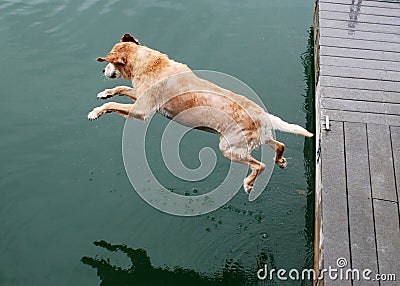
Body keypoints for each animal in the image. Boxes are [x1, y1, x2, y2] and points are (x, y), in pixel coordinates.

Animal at [89, 34, 314, 194]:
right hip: (255, 139)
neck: (147, 64)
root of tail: (261, 114)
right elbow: (119, 89)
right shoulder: (139, 97)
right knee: (279, 145)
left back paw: (249, 184)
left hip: (229, 148)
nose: (102, 71)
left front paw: (96, 112)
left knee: (260, 165)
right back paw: (280, 161)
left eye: (109, 62)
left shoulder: (141, 111)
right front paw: (104, 93)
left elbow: (114, 103)